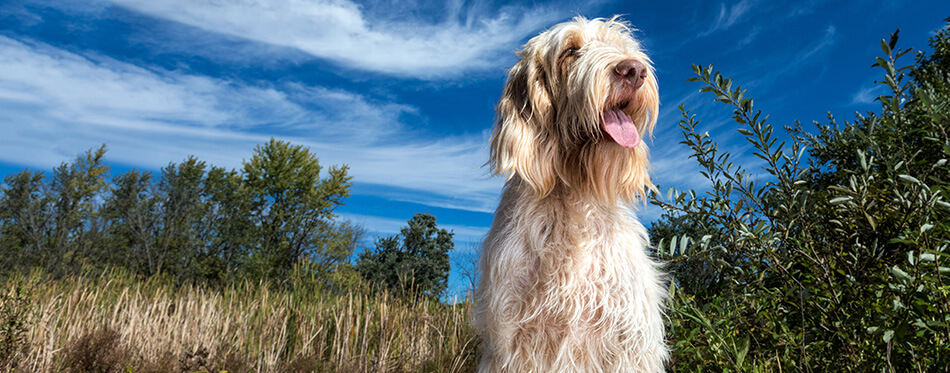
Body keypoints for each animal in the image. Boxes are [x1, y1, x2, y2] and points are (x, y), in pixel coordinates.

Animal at [476, 16, 668, 370]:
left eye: (622, 47)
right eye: (570, 51)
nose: (634, 70)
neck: (575, 197)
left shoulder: (627, 343)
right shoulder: (518, 344)